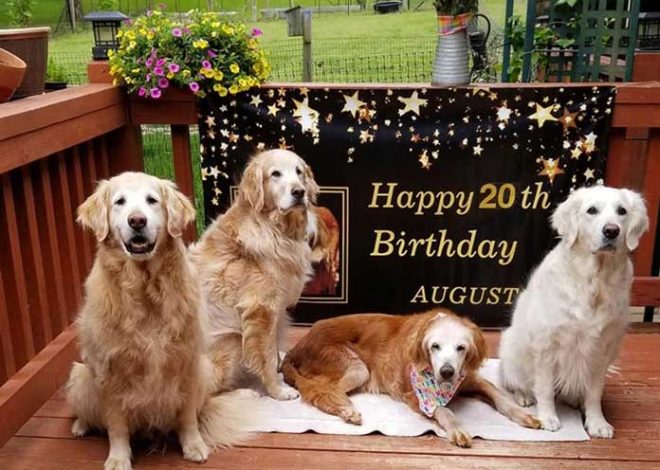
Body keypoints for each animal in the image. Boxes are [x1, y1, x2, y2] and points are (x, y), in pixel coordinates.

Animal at [66, 173, 260, 470]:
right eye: (119, 202)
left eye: (152, 200)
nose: (137, 220)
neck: (146, 287)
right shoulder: (110, 371)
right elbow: (116, 424)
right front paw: (118, 458)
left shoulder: (187, 362)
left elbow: (188, 416)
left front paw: (193, 445)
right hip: (79, 377)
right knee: (91, 414)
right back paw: (80, 425)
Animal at [191, 151, 320, 400]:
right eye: (275, 174)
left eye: (299, 171)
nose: (299, 192)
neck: (275, 229)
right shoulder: (261, 309)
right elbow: (267, 357)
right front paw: (278, 391)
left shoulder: (277, 308)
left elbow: (274, 348)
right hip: (231, 340)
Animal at [282, 310, 540, 446]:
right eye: (435, 346)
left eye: (461, 348)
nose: (447, 372)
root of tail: (299, 345)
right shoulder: (415, 395)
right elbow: (444, 410)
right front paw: (456, 428)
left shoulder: (471, 379)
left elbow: (500, 397)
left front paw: (524, 415)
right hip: (356, 367)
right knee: (322, 392)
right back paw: (347, 410)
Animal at [500, 185, 648, 438]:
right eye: (592, 210)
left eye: (622, 211)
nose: (612, 231)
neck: (594, 281)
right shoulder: (547, 344)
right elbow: (545, 388)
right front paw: (547, 417)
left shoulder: (602, 348)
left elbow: (594, 392)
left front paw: (597, 422)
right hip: (510, 349)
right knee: (520, 382)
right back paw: (525, 395)